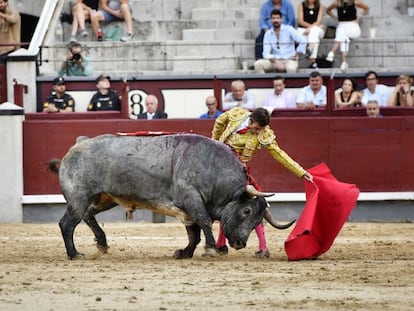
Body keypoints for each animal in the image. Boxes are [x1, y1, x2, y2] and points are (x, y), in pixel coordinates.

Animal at [50, 135, 292, 260]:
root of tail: (79, 143)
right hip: (79, 197)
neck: (214, 171)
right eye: (247, 211)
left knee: (88, 216)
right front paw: (211, 249)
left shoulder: (186, 210)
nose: (241, 243)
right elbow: (204, 223)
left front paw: (184, 253)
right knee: (67, 223)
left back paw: (102, 244)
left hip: (104, 198)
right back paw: (74, 254)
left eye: (258, 220)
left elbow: (194, 234)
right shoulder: (191, 199)